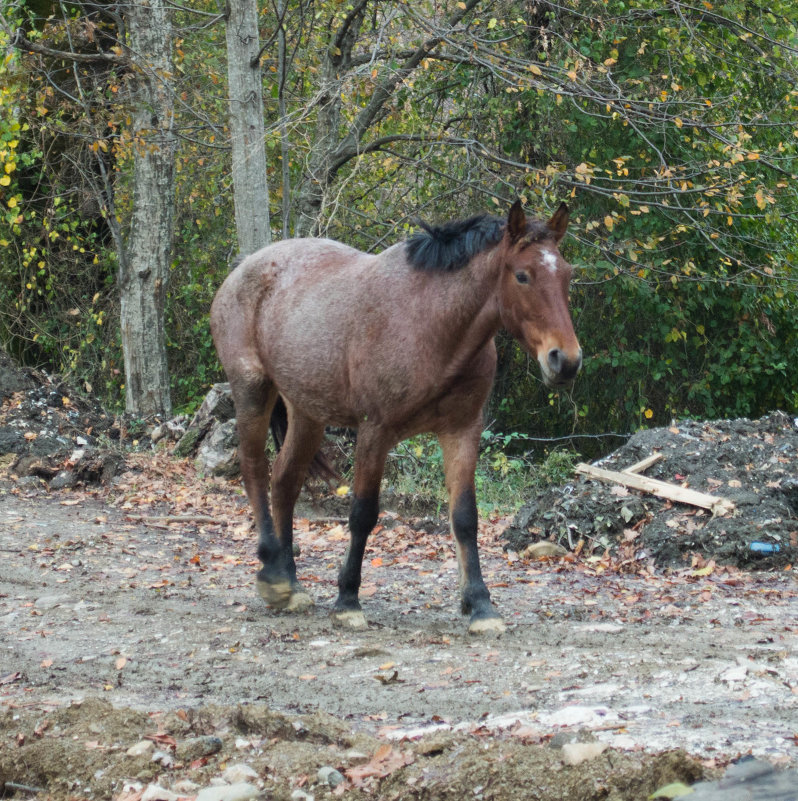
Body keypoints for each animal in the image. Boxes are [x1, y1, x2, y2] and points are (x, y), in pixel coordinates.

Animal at [211, 198, 580, 632]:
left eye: (567, 275)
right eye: (522, 276)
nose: (565, 361)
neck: (431, 325)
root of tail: (244, 268)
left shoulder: (462, 430)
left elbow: (465, 517)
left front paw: (480, 604)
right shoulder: (376, 432)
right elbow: (363, 514)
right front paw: (348, 599)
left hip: (307, 413)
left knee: (284, 481)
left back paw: (290, 583)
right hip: (252, 390)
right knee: (254, 469)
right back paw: (271, 571)